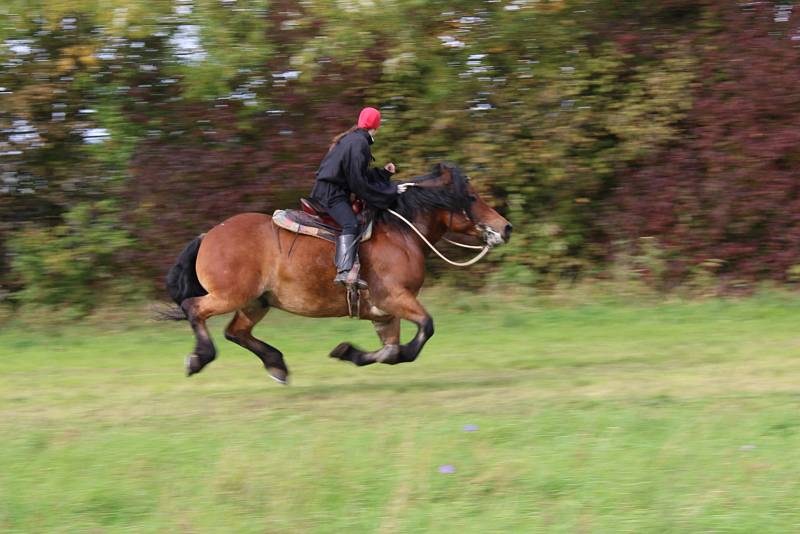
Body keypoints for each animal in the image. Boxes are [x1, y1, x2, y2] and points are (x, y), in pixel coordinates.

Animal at [162, 164, 512, 386]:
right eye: (471, 197)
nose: (506, 227)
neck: (401, 232)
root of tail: (208, 236)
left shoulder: (383, 313)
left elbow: (390, 351)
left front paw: (348, 352)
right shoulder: (395, 298)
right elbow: (422, 332)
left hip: (255, 303)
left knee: (236, 332)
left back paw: (277, 365)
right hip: (230, 296)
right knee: (195, 310)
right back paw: (199, 358)